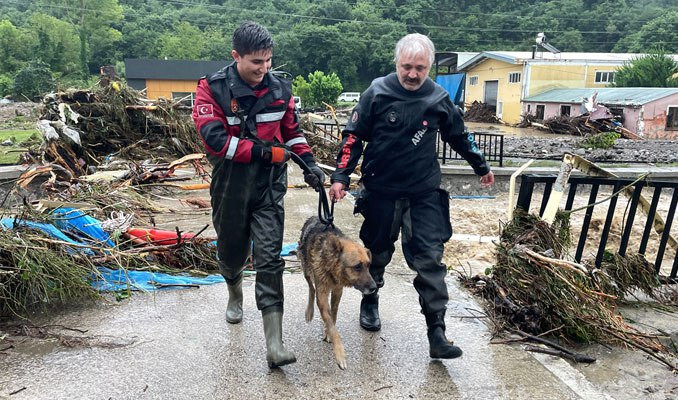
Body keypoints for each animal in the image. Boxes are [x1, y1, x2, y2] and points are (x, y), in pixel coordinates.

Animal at [300, 216, 380, 368]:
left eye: (368, 265)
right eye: (357, 267)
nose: (374, 287)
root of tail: (314, 217)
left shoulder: (337, 291)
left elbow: (334, 315)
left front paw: (328, 332)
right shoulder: (322, 294)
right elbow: (333, 327)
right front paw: (340, 354)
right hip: (306, 269)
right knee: (311, 288)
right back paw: (309, 311)